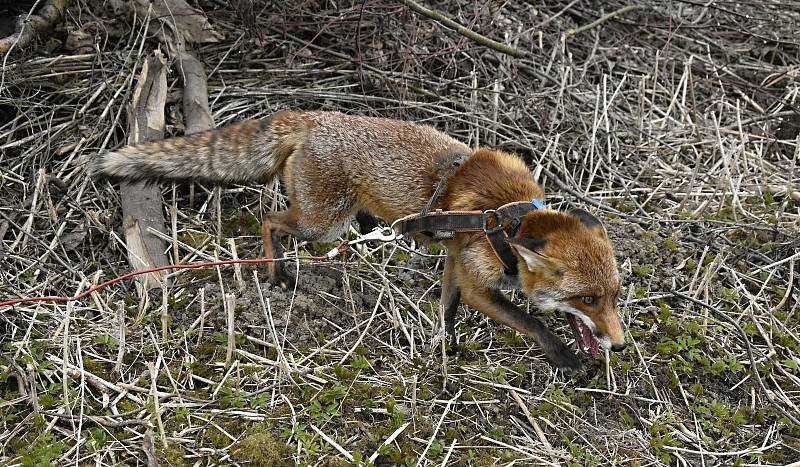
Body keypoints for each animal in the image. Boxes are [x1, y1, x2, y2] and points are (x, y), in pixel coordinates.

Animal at [94, 111, 628, 372]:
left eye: (614, 297)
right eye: (587, 299)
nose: (620, 346)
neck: (506, 219)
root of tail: (315, 116)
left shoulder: (457, 263)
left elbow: (448, 308)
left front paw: (446, 347)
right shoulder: (480, 281)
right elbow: (532, 322)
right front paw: (563, 357)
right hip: (322, 224)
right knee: (270, 221)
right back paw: (276, 274)